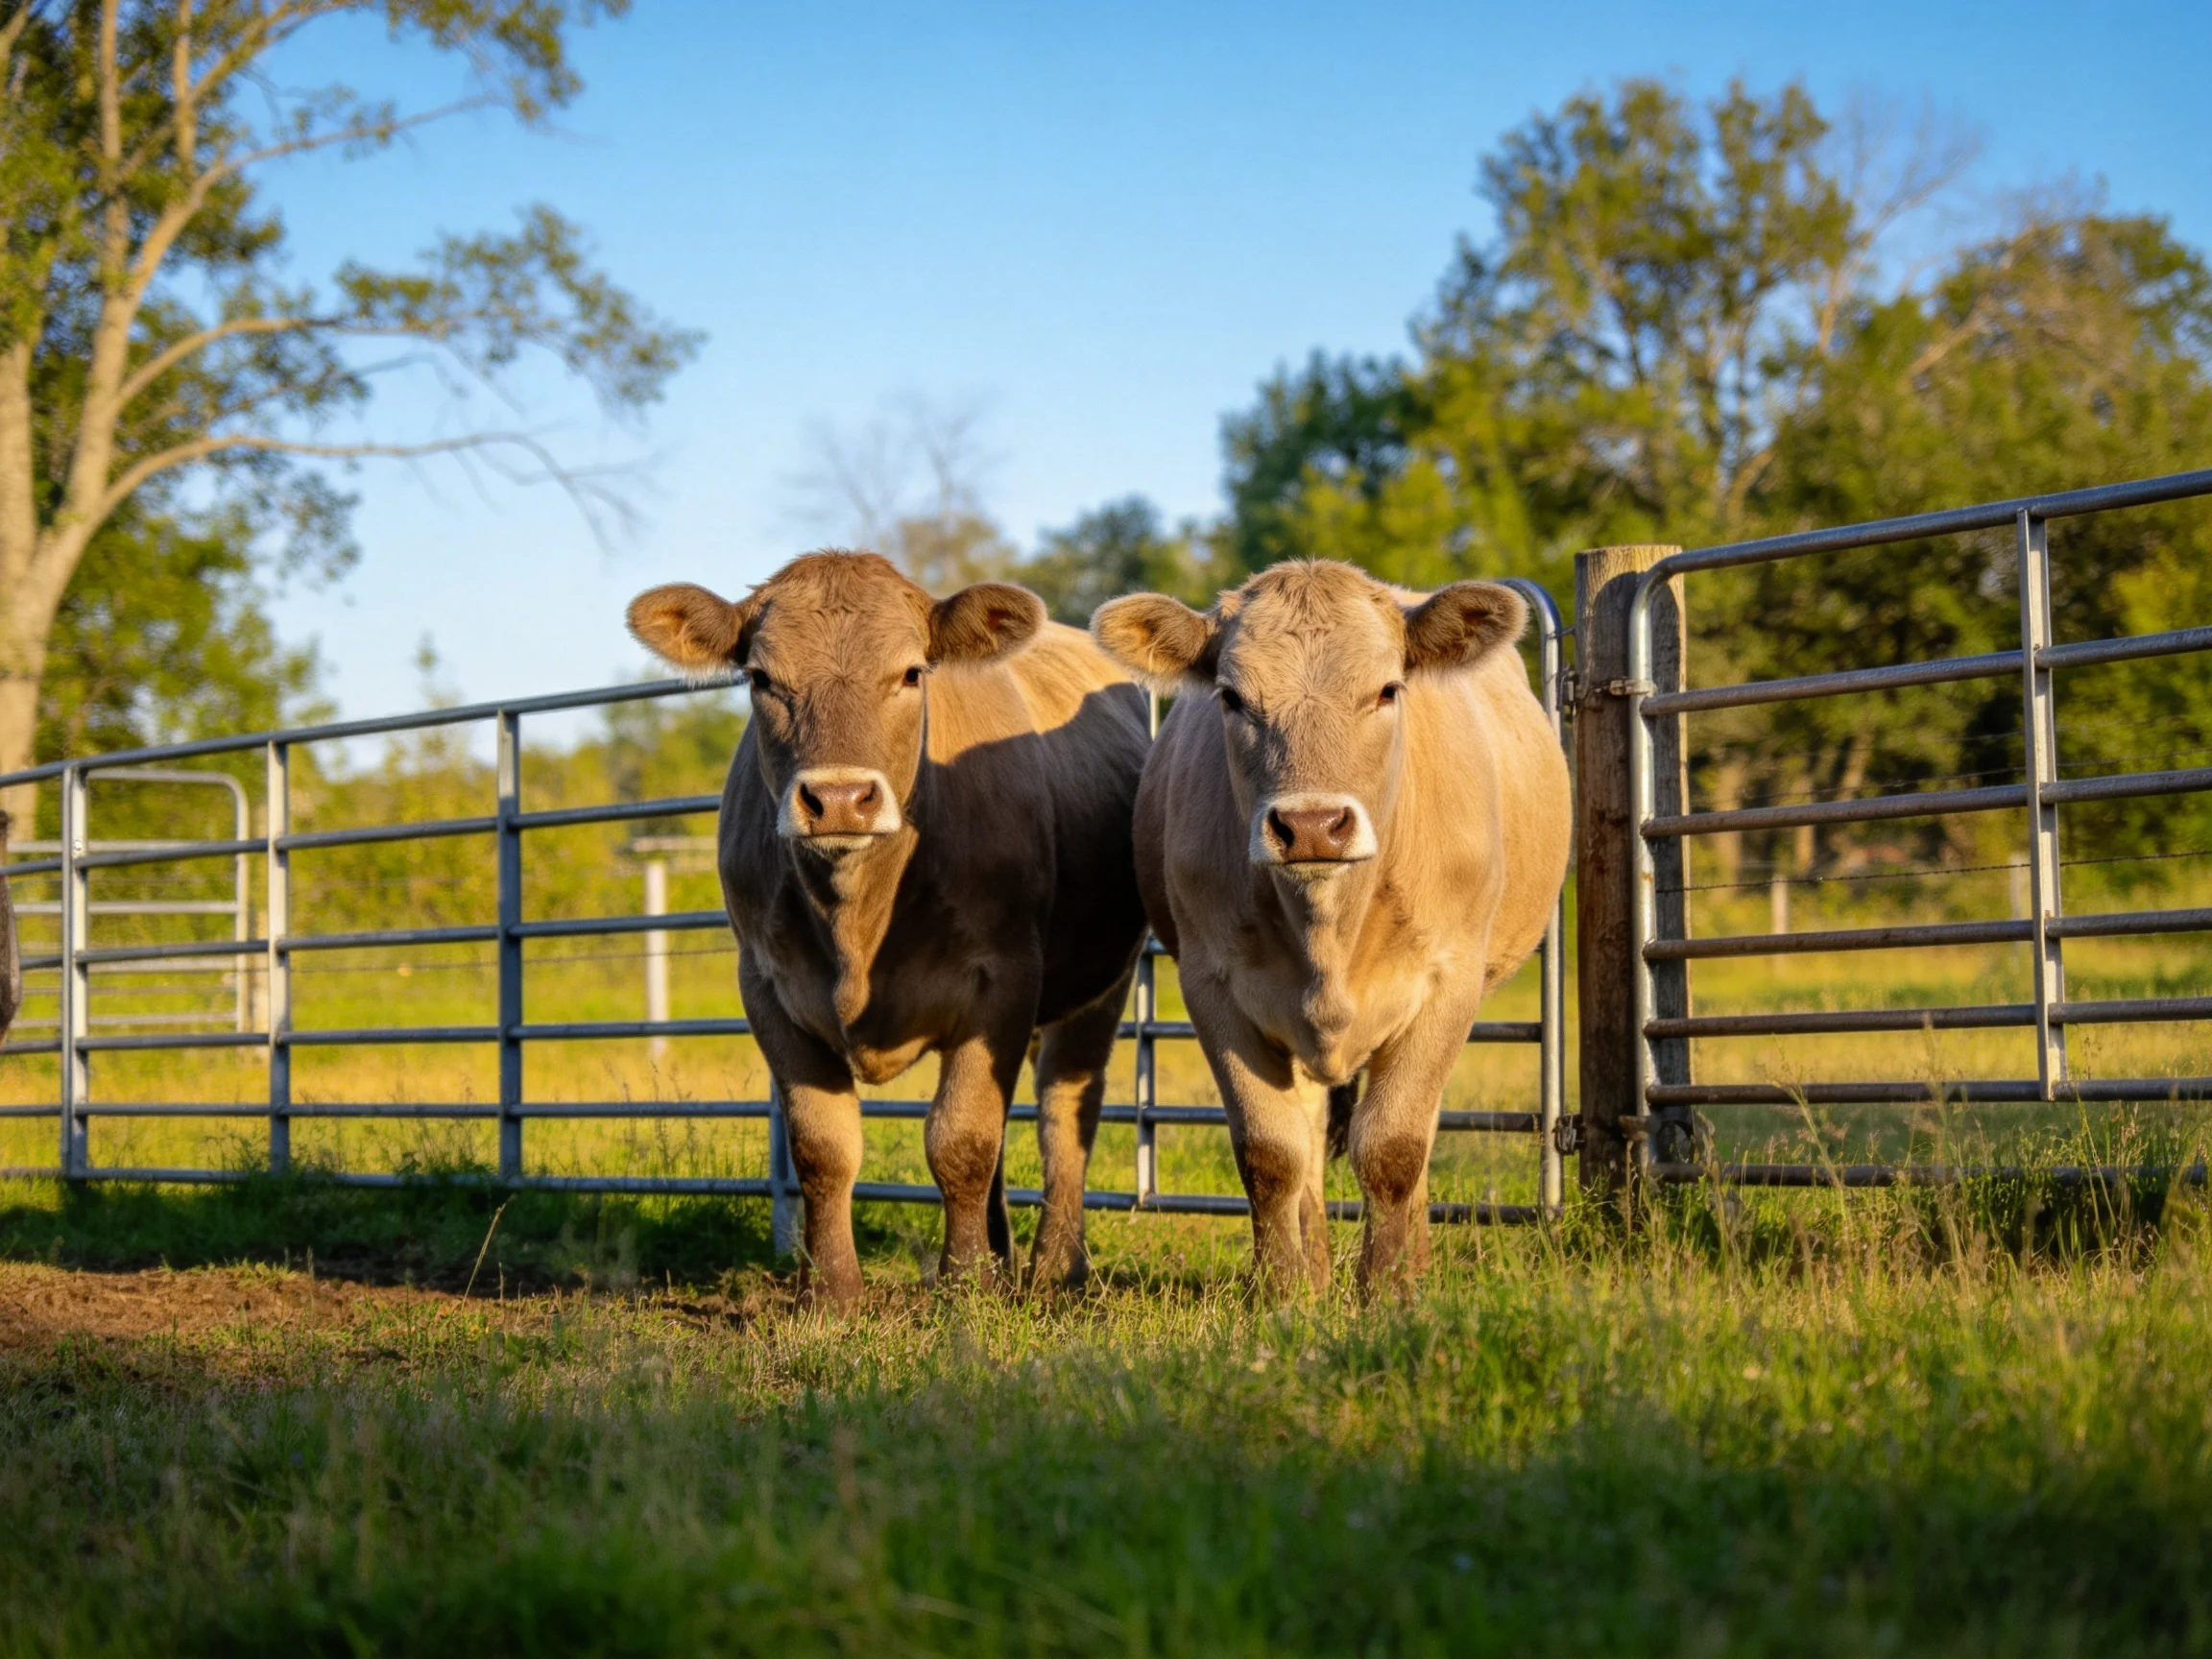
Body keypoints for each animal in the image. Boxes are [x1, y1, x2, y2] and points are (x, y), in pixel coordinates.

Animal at [627, 553, 1150, 1309]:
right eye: (760, 678)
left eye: (910, 673)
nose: (839, 798)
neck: (858, 916)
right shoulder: (766, 985)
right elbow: (824, 1145)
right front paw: (832, 1293)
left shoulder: (1003, 977)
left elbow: (963, 1137)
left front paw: (966, 1287)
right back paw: (1002, 1255)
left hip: (1099, 984)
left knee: (1065, 1112)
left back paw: (1055, 1268)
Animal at [1091, 560, 1570, 1296]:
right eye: (1231, 697)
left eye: (1388, 689)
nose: (1311, 824)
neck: (1328, 928)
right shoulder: (1212, 986)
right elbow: (1272, 1153)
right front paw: (1286, 1291)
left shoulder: (1448, 983)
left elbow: (1395, 1148)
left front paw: (1391, 1288)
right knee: (1311, 1140)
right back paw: (1316, 1271)